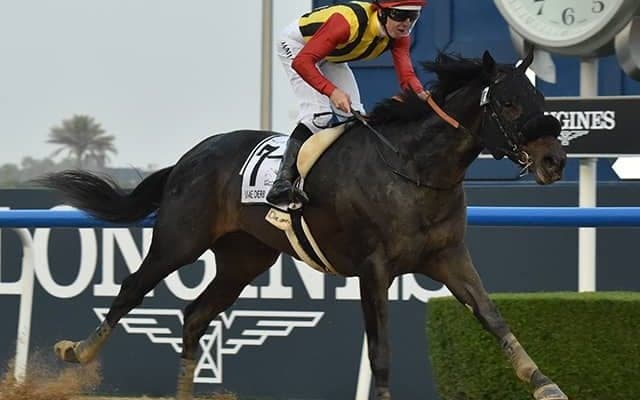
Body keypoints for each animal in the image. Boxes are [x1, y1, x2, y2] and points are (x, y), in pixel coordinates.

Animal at [38, 49, 568, 400]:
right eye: (509, 103)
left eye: (538, 96)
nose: (555, 161)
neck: (413, 168)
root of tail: (190, 156)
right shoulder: (373, 269)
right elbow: (380, 350)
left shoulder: (448, 256)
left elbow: (492, 316)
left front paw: (543, 382)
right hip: (180, 239)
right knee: (133, 287)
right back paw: (77, 352)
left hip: (244, 258)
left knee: (195, 314)